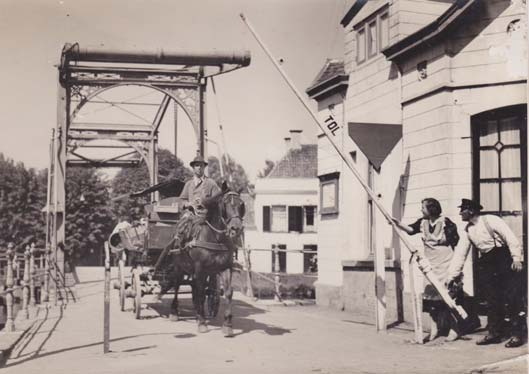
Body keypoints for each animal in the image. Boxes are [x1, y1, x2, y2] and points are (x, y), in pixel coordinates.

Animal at [167, 187, 245, 336]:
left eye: (241, 204)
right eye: (225, 204)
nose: (236, 228)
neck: (216, 238)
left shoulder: (226, 267)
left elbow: (228, 293)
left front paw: (227, 325)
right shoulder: (200, 268)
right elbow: (201, 293)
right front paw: (202, 323)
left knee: (194, 288)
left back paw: (197, 312)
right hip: (179, 267)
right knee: (177, 285)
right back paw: (174, 312)